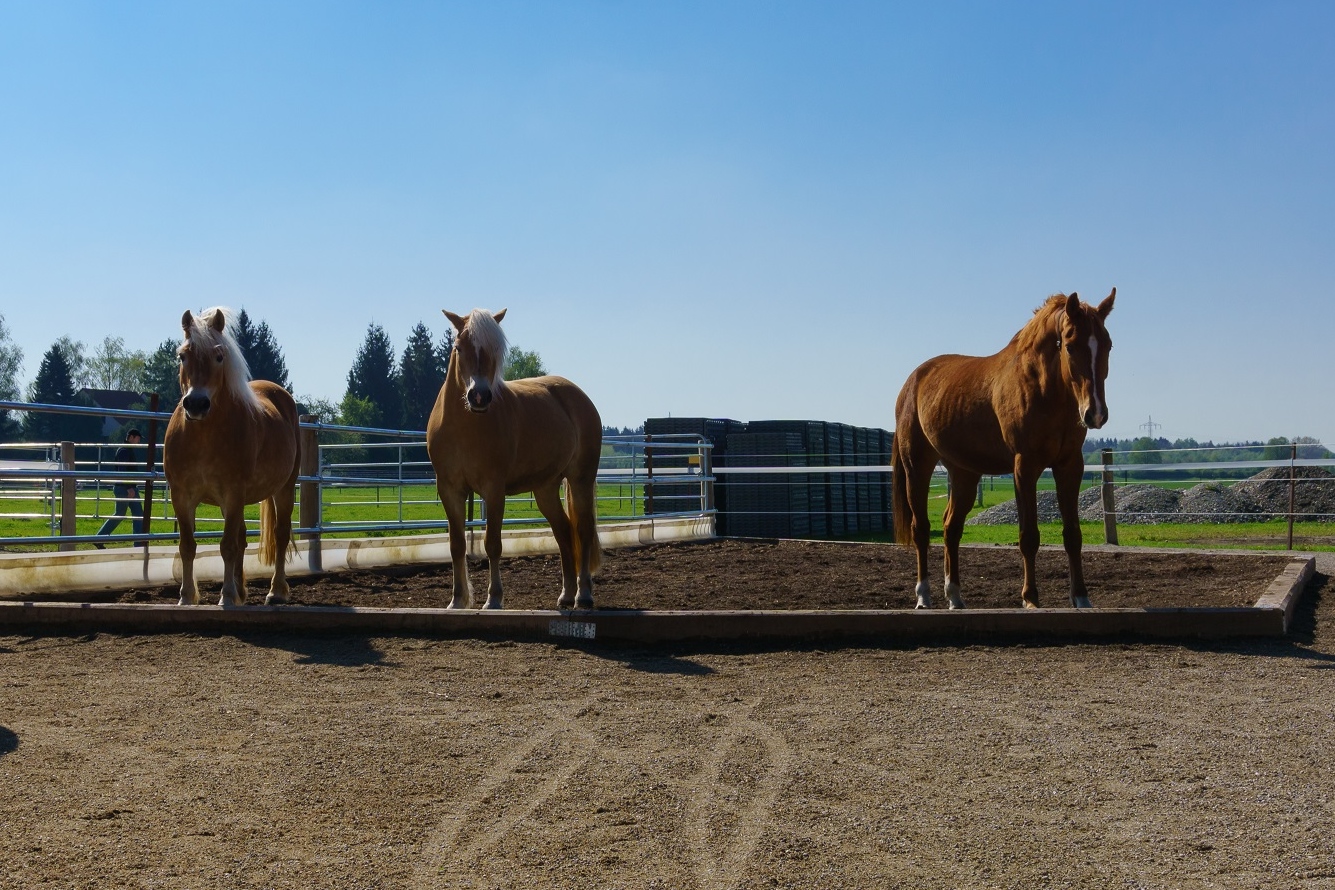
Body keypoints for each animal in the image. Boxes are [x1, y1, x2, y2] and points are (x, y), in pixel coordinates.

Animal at [162, 309, 300, 608]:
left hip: (283, 488)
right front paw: (187, 597)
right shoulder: (182, 495)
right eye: (182, 356)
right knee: (242, 538)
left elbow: (226, 546)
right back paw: (240, 591)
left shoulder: (234, 492)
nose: (196, 404)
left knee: (280, 534)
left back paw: (275, 591)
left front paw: (225, 597)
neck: (202, 437)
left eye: (219, 356)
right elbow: (187, 546)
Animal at [427, 309, 606, 608]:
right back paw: (566, 594)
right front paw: (458, 600)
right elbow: (456, 545)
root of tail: (577, 395)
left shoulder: (494, 489)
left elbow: (492, 544)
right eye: (458, 348)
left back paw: (583, 595)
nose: (479, 396)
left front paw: (494, 598)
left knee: (583, 531)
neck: (464, 425)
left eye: (496, 350)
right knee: (563, 532)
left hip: (580, 479)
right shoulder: (449, 489)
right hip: (545, 488)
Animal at [897, 292, 1116, 613]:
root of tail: (913, 380)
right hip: (917, 466)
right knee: (921, 529)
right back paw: (924, 596)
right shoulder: (1024, 467)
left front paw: (1080, 597)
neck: (1043, 389)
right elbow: (1029, 537)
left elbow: (1073, 535)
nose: (1095, 413)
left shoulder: (1069, 466)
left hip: (963, 473)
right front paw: (1030, 598)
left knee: (951, 528)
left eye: (1108, 344)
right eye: (1070, 345)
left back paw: (955, 596)